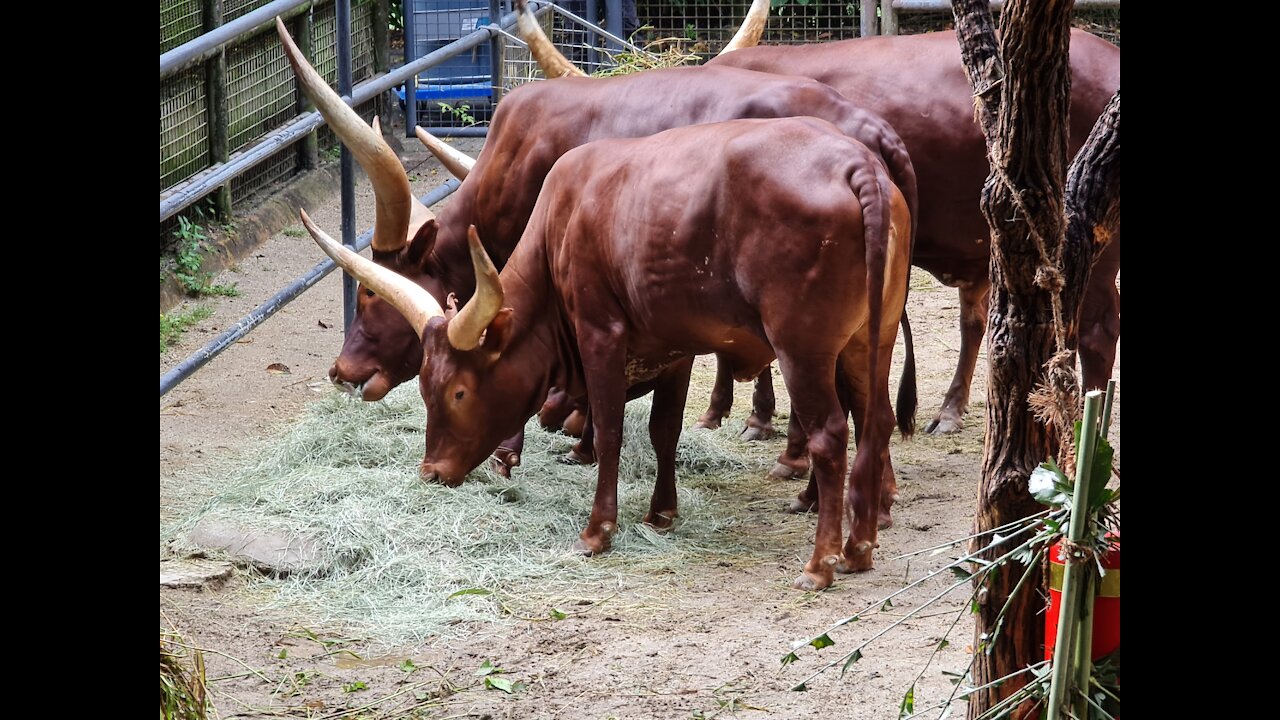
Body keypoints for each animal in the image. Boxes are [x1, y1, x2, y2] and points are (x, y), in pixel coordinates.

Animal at [304, 116, 916, 589]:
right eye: (427, 390)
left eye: (457, 391)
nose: (431, 472)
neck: (562, 223)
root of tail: (855, 165)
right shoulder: (674, 349)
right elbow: (664, 430)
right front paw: (661, 513)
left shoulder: (602, 335)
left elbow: (612, 430)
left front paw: (598, 531)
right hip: (869, 339)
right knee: (876, 420)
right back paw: (859, 548)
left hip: (803, 350)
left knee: (830, 435)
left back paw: (821, 562)